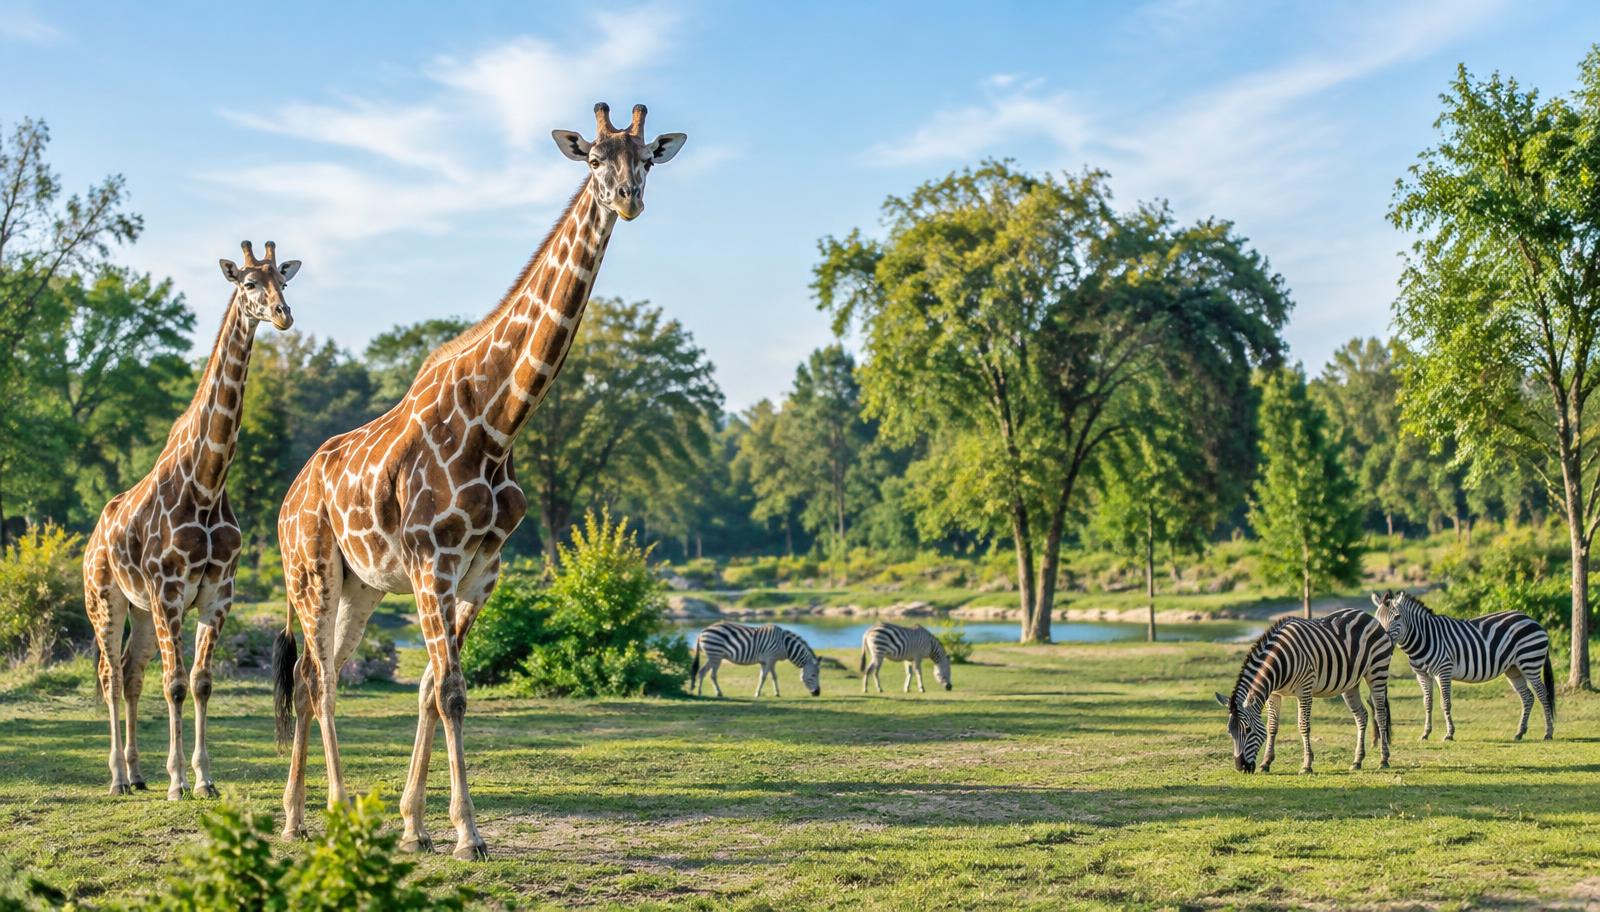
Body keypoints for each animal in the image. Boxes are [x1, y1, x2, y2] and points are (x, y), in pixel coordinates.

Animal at [690, 621, 821, 698]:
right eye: (814, 675)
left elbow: (774, 676)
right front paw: (757, 693)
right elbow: (763, 677)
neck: (785, 645)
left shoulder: (771, 661)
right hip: (716, 656)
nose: (818, 693)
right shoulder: (769, 659)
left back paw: (699, 692)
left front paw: (777, 693)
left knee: (702, 672)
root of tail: (702, 631)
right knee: (712, 675)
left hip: (713, 656)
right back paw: (719, 693)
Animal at [1213, 610, 1393, 773]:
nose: (1241, 768)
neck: (1279, 663)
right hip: (1350, 684)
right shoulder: (1274, 694)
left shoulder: (1304, 689)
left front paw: (1307, 765)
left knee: (1381, 714)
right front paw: (1266, 762)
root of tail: (1367, 615)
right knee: (1362, 716)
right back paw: (1357, 761)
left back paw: (1383, 759)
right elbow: (1272, 726)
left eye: (1248, 730)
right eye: (1229, 731)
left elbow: (1303, 725)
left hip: (1377, 671)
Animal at [1371, 590, 1554, 741]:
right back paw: (1520, 733)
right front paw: (1425, 733)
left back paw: (1548, 733)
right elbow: (1427, 702)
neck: (1423, 638)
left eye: (1397, 617)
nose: (1383, 640)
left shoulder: (1443, 670)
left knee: (1542, 694)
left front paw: (1449, 734)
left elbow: (1445, 702)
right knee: (1528, 697)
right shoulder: (1422, 675)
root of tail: (1533, 620)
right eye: (1377, 618)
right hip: (1513, 669)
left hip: (1530, 662)